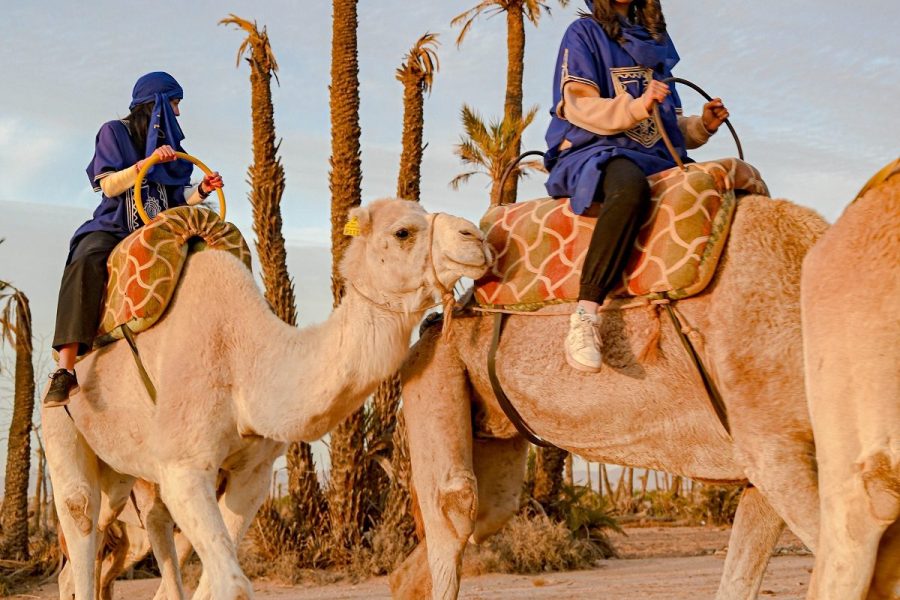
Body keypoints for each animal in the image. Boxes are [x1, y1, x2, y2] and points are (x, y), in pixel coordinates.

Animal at [42, 198, 492, 600]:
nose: (477, 238)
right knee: (80, 515)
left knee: (129, 524)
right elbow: (234, 585)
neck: (246, 361)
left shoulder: (253, 475)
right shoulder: (185, 466)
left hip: (124, 474)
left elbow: (216, 584)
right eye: (403, 231)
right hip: (60, 427)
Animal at [391, 193, 829, 600]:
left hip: (489, 423)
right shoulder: (775, 453)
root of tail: (437, 323)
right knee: (455, 506)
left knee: (468, 527)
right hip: (435, 369)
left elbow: (741, 580)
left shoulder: (768, 464)